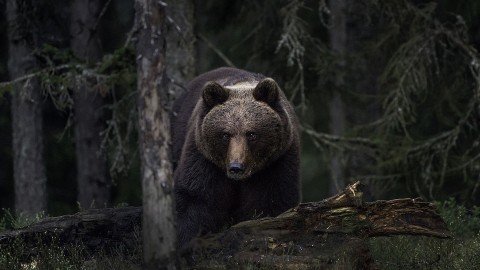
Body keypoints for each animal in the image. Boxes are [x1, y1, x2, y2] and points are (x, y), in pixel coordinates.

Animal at [172, 67, 300, 247]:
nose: (236, 167)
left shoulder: (276, 163)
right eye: (225, 134)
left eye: (251, 134)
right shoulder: (204, 157)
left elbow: (270, 202)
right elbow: (196, 197)